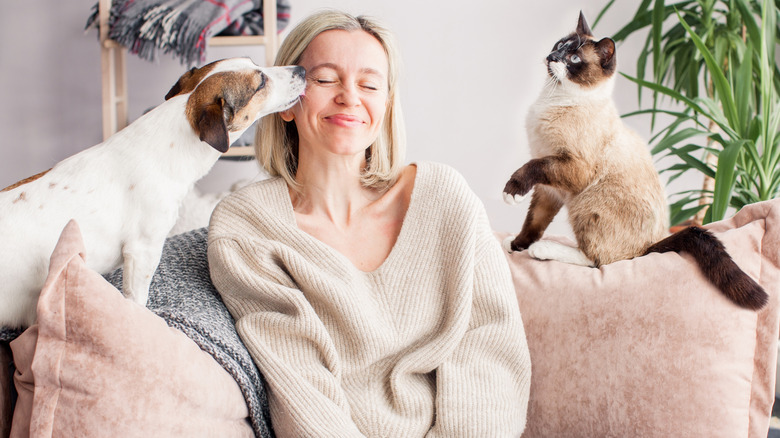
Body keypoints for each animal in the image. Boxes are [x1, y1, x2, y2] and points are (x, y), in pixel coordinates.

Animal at [500, 11, 768, 312]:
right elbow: (534, 222)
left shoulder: (568, 168)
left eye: (574, 59)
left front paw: (512, 194)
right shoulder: (549, 188)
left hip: (586, 202)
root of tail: (649, 248)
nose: (551, 57)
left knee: (600, 261)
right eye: (559, 45)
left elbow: (530, 170)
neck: (554, 99)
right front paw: (517, 245)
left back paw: (543, 251)